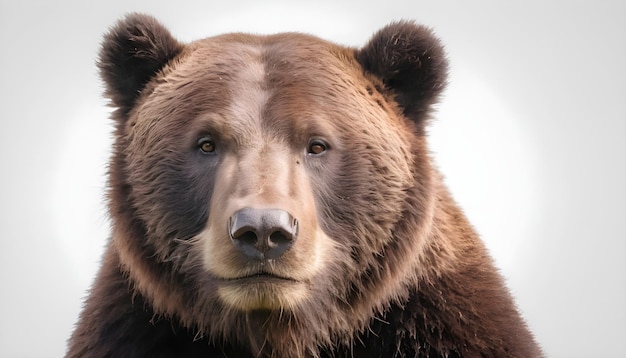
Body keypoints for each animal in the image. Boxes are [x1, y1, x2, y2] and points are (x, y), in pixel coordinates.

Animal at [66, 13, 540, 358]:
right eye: (206, 143)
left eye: (317, 144)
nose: (262, 231)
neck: (280, 333)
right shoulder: (136, 329)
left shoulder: (437, 322)